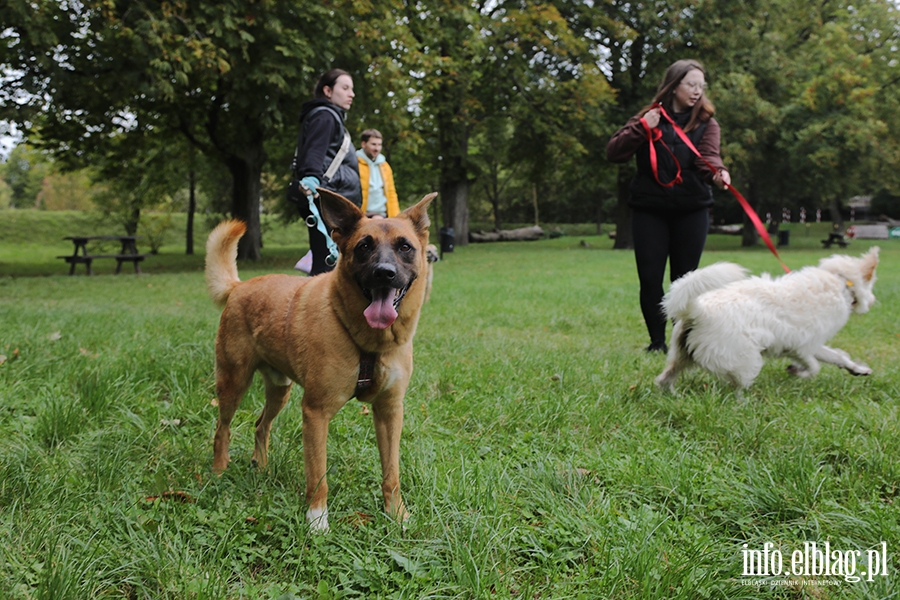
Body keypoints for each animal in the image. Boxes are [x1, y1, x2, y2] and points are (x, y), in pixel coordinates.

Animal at [208, 189, 440, 528]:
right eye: (364, 246)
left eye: (405, 247)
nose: (384, 273)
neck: (365, 340)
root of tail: (239, 286)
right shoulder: (315, 413)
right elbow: (318, 475)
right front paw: (317, 521)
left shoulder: (390, 411)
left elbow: (392, 473)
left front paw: (396, 514)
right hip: (233, 383)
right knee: (222, 429)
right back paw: (218, 470)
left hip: (279, 390)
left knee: (260, 425)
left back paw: (260, 466)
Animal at [652, 246, 880, 392]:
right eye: (872, 286)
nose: (874, 301)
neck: (840, 281)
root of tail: (699, 311)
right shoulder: (802, 347)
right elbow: (815, 367)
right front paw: (798, 372)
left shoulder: (812, 345)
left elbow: (838, 357)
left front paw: (859, 370)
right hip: (746, 362)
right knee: (737, 389)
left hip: (681, 356)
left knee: (664, 379)